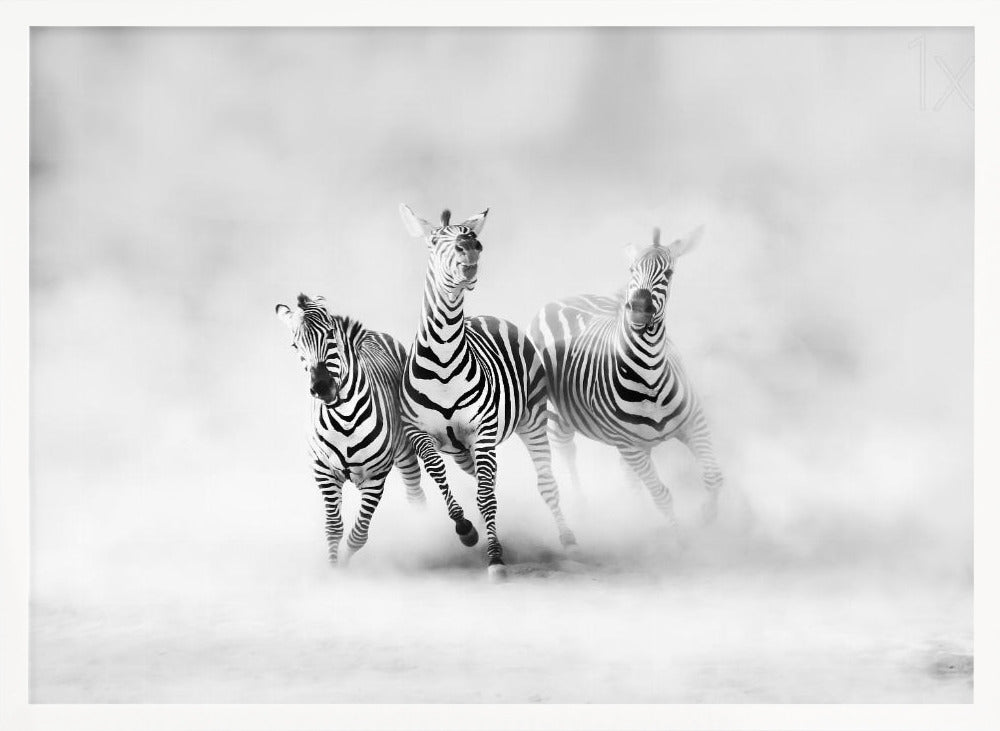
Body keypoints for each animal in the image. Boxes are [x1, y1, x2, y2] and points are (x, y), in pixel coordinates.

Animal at [275, 293, 426, 566]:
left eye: (331, 333)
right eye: (295, 346)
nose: (322, 387)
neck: (344, 418)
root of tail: (373, 333)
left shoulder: (376, 476)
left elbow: (358, 535)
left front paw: (345, 565)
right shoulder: (323, 471)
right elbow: (334, 528)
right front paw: (335, 569)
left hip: (405, 451)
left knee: (415, 494)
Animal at [398, 204, 577, 580]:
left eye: (472, 236)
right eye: (434, 241)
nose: (471, 248)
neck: (443, 358)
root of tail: (489, 316)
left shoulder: (482, 431)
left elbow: (485, 496)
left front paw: (495, 557)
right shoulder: (420, 433)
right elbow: (441, 477)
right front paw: (466, 530)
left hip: (532, 420)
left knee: (545, 482)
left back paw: (568, 539)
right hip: (462, 450)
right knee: (485, 480)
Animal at [529, 225, 724, 530]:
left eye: (669, 273)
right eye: (632, 269)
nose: (639, 308)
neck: (650, 374)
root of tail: (562, 299)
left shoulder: (694, 422)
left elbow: (713, 476)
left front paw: (708, 516)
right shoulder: (628, 445)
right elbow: (662, 495)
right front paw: (682, 536)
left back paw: (637, 513)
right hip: (557, 414)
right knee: (566, 450)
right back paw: (582, 508)